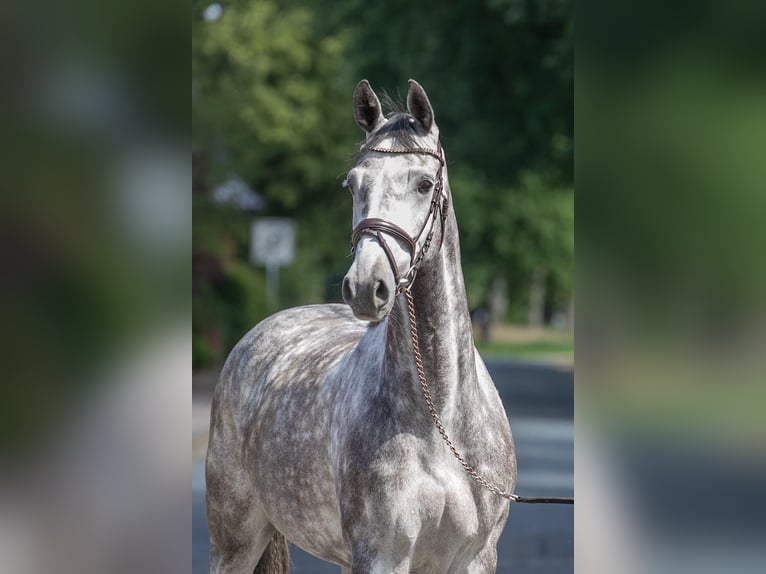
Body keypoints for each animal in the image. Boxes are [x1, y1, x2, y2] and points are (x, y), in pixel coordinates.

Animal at [206, 79, 516, 572]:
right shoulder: (382, 556)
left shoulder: (476, 558)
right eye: (352, 183)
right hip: (234, 543)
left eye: (425, 183)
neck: (440, 419)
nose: (366, 286)